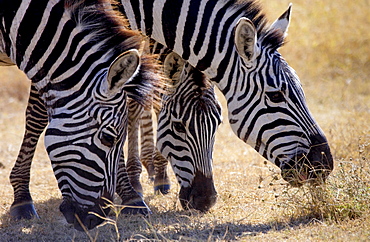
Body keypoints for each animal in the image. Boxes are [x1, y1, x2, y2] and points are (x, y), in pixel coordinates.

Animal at [124, 44, 223, 212]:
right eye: (178, 126)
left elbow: (158, 100)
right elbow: (134, 105)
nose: (205, 201)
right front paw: (133, 182)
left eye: (218, 124)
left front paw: (161, 175)